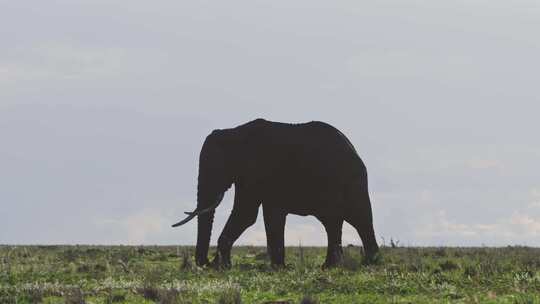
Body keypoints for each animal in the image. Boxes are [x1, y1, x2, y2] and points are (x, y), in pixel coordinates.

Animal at [173, 119, 380, 268]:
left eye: (217, 168)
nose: (204, 263)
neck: (234, 133)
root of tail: (353, 149)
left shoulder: (258, 171)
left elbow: (246, 214)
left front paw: (221, 266)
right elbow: (264, 215)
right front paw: (277, 266)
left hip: (350, 181)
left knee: (358, 217)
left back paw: (366, 263)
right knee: (336, 221)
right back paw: (335, 265)